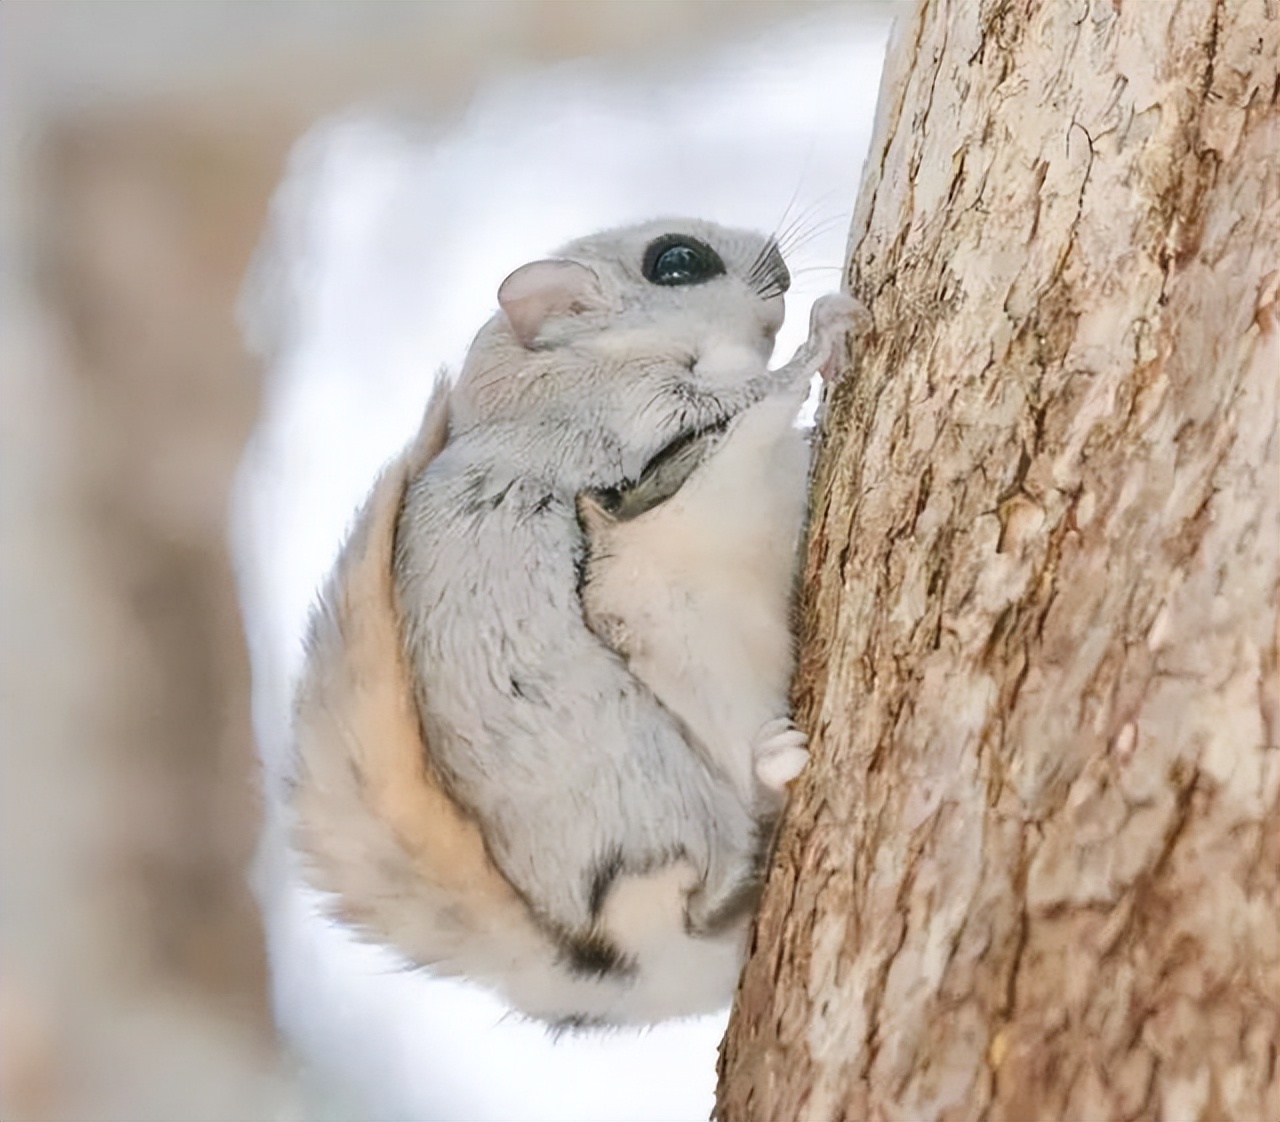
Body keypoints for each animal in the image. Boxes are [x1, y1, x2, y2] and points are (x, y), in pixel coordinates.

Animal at [291, 218, 870, 1023]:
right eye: (678, 261)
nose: (782, 266)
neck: (568, 366)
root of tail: (628, 965)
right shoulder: (644, 416)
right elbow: (756, 395)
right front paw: (828, 326)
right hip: (659, 778)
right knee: (699, 880)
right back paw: (772, 777)